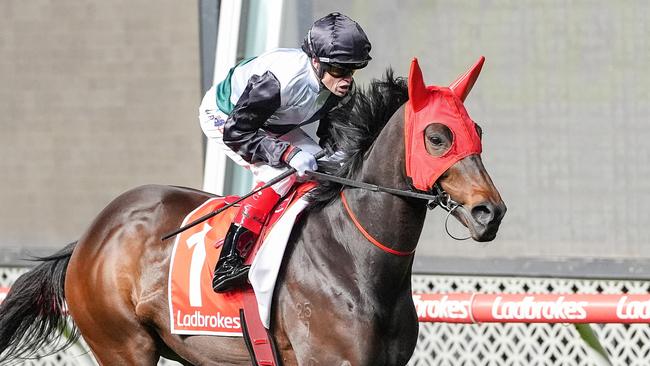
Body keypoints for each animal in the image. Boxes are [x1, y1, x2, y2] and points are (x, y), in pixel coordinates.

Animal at [0, 58, 506, 364]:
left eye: (476, 129)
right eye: (437, 136)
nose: (490, 212)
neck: (356, 260)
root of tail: (91, 235)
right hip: (123, 346)